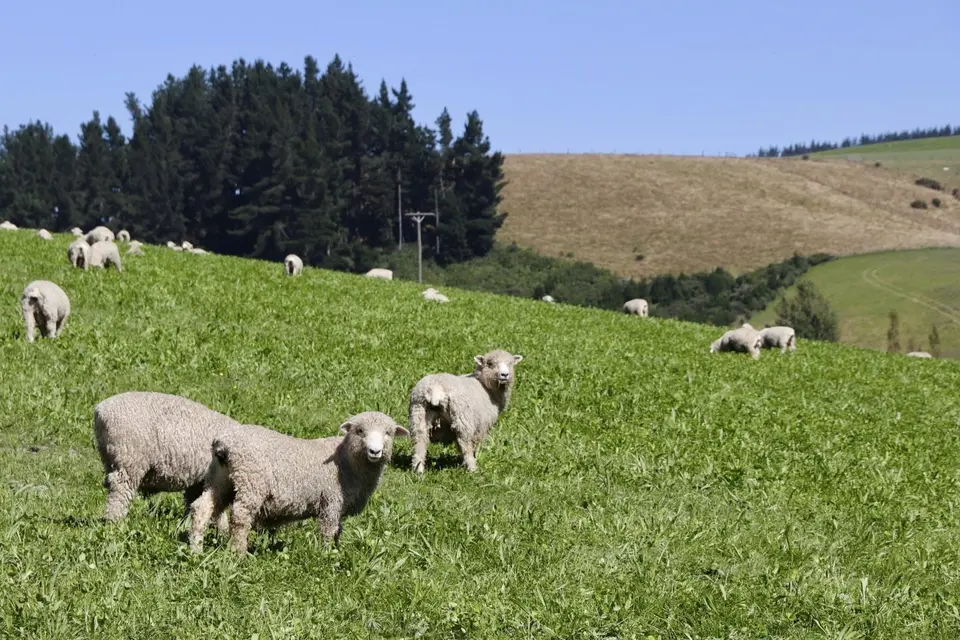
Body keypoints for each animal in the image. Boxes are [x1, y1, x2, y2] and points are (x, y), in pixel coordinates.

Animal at [93, 391, 243, 523]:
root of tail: (100, 412)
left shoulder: (199, 481)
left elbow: (193, 502)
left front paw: (185, 524)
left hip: (110, 458)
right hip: (129, 459)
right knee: (119, 490)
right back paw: (115, 522)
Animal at [187, 411, 409, 555]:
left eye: (388, 433)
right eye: (360, 431)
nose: (375, 451)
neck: (346, 459)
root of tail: (223, 443)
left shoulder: (339, 505)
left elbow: (338, 531)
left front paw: (336, 552)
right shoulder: (331, 501)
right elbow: (328, 530)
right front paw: (325, 555)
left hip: (219, 479)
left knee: (202, 508)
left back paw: (195, 549)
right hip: (251, 482)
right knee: (240, 518)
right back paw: (240, 554)